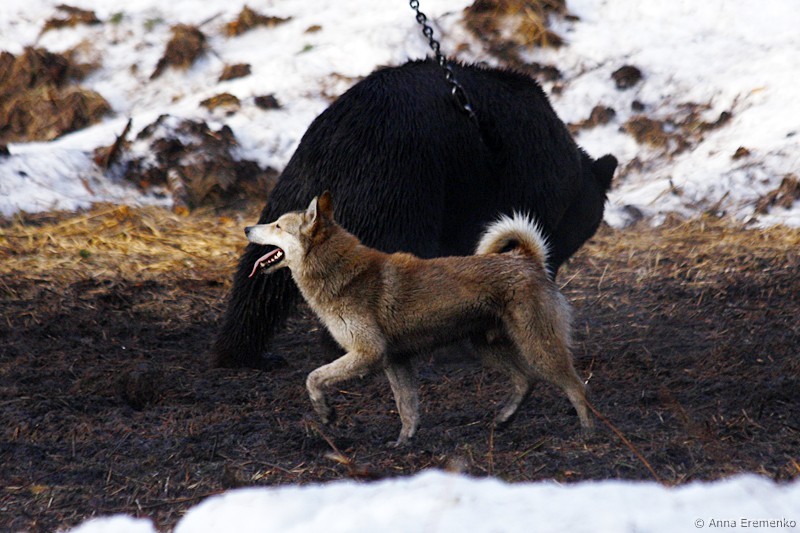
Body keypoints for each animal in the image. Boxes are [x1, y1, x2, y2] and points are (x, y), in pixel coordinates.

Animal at [212, 58, 617, 369]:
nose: (552, 272)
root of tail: (345, 139)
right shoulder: (510, 186)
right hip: (401, 187)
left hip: (295, 185)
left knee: (257, 279)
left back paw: (242, 351)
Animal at [244, 191, 593, 445]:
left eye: (278, 226)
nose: (247, 228)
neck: (339, 272)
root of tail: (526, 259)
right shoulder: (395, 361)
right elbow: (407, 407)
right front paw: (404, 443)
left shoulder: (368, 354)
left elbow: (313, 377)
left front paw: (326, 413)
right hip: (483, 346)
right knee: (525, 380)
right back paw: (505, 419)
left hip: (538, 346)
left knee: (576, 387)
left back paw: (589, 432)